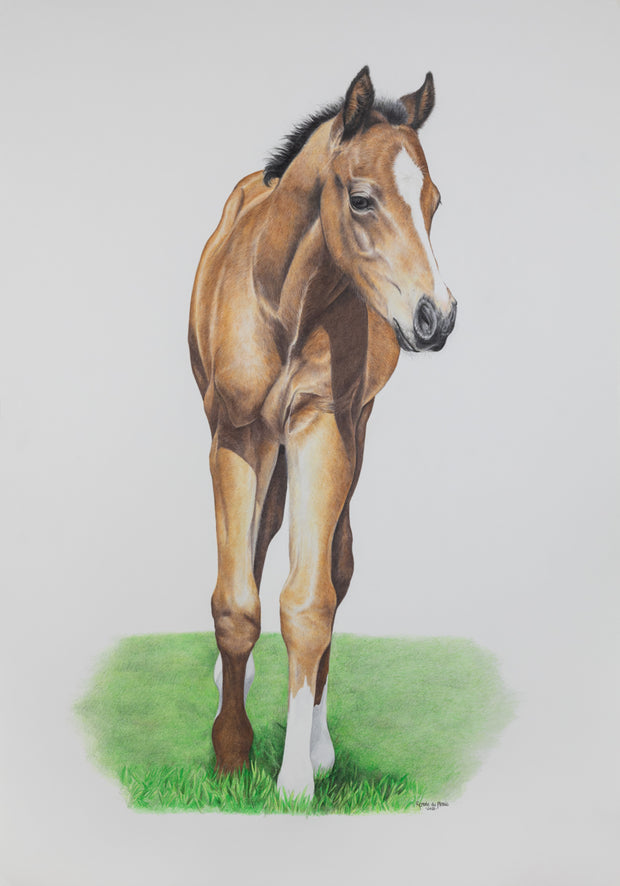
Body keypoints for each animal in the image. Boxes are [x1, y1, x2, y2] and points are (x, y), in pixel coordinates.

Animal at [188, 66, 456, 799]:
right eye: (362, 199)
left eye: (433, 202)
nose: (437, 317)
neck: (285, 301)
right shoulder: (236, 435)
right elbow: (236, 601)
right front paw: (231, 753)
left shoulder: (322, 426)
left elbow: (310, 603)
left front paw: (296, 779)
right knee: (257, 548)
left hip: (352, 433)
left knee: (336, 569)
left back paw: (320, 743)